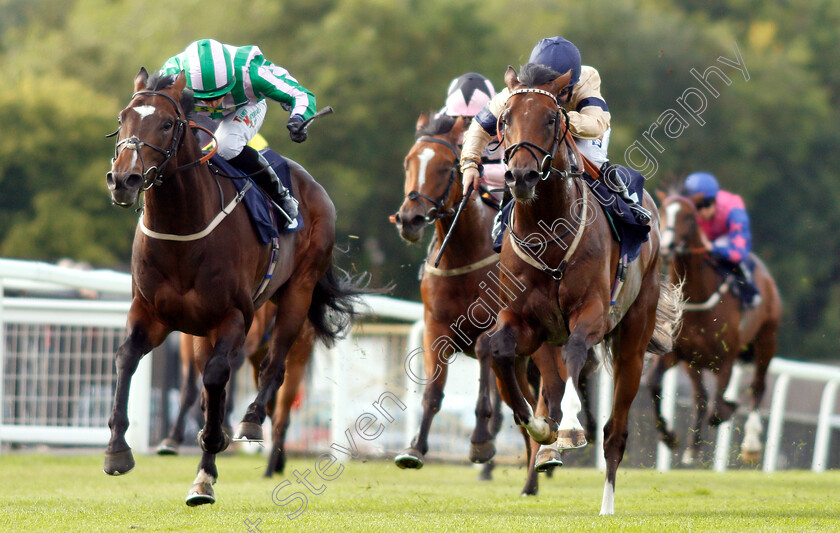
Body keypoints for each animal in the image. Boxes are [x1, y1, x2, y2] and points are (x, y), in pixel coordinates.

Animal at [156, 302, 316, 476]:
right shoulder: (189, 337)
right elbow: (189, 390)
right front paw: (171, 439)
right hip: (259, 358)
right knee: (272, 407)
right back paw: (278, 462)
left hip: (296, 355)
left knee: (282, 415)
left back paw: (269, 468)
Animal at [394, 112, 556, 494]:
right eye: (409, 162)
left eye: (445, 166)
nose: (409, 219)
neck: (461, 254)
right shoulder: (435, 327)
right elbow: (433, 390)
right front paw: (415, 449)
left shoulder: (493, 325)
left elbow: (484, 357)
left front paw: (481, 441)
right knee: (524, 404)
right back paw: (531, 479)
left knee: (543, 398)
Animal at [488, 64, 680, 512]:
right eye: (505, 119)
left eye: (551, 119)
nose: (520, 176)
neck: (548, 232)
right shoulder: (526, 322)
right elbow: (499, 350)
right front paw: (540, 427)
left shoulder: (592, 314)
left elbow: (576, 351)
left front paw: (572, 425)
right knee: (554, 380)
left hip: (633, 340)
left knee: (616, 432)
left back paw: (607, 504)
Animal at [652, 193, 784, 464]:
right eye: (663, 211)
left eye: (689, 217)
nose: (668, 246)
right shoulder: (681, 356)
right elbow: (658, 386)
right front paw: (672, 438)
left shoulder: (725, 359)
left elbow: (717, 408)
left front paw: (729, 407)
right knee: (704, 397)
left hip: (767, 340)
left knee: (758, 387)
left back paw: (751, 444)